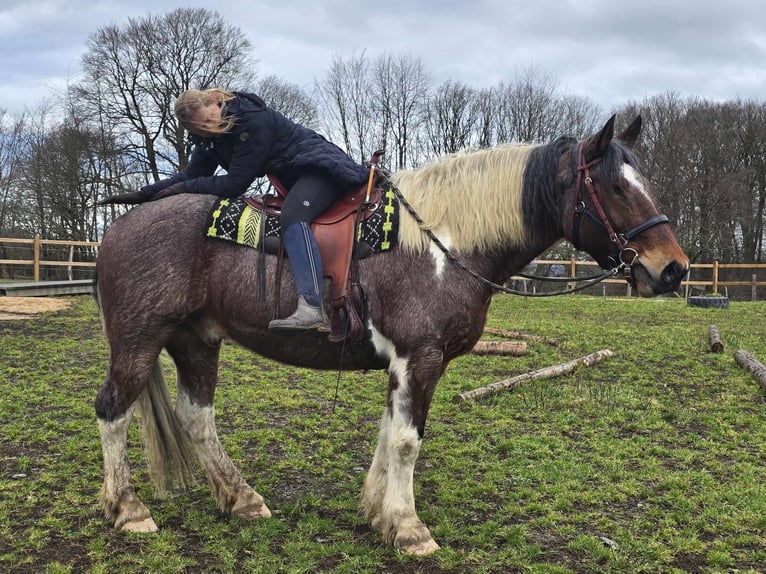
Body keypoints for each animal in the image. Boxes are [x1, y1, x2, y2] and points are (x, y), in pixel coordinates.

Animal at [94, 113, 688, 560]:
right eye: (615, 186)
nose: (673, 269)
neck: (443, 245)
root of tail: (120, 225)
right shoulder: (419, 358)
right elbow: (406, 441)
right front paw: (409, 528)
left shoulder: (405, 365)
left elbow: (388, 435)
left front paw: (378, 513)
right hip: (138, 341)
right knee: (112, 411)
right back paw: (129, 510)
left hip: (196, 340)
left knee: (196, 418)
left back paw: (241, 499)